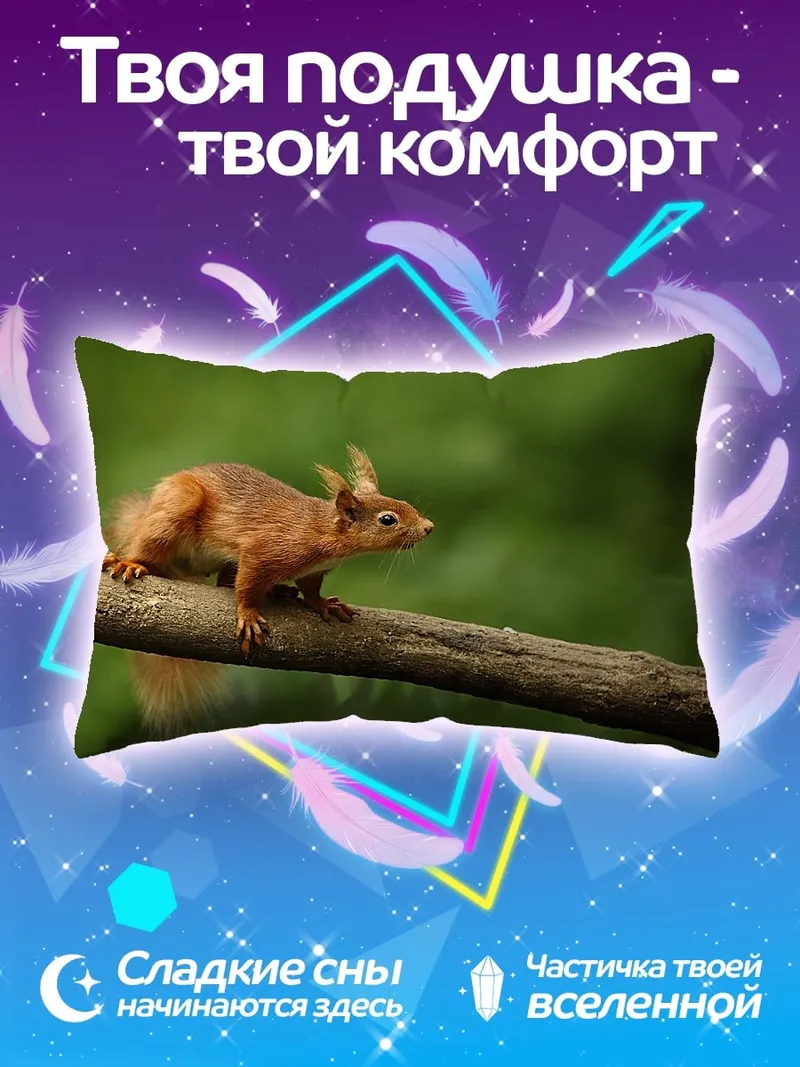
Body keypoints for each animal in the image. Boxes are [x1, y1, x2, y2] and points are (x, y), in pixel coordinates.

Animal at [101, 445, 434, 737]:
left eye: (405, 503)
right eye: (388, 519)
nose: (429, 527)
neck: (322, 530)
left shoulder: (312, 570)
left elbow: (310, 589)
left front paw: (323, 604)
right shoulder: (265, 551)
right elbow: (247, 586)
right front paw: (249, 615)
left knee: (224, 581)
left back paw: (278, 592)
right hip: (175, 511)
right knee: (151, 547)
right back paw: (130, 561)